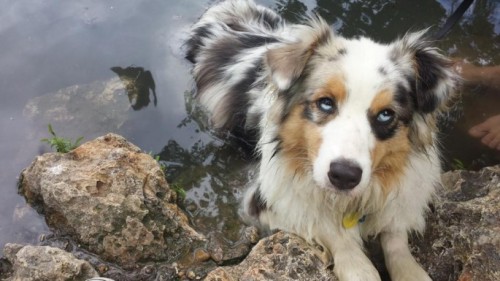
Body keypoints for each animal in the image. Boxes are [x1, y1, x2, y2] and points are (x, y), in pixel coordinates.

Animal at [185, 1, 458, 278]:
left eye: (386, 115)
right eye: (325, 102)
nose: (344, 176)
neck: (349, 203)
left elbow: (395, 237)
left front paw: (410, 270)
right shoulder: (264, 204)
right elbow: (329, 229)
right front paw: (359, 267)